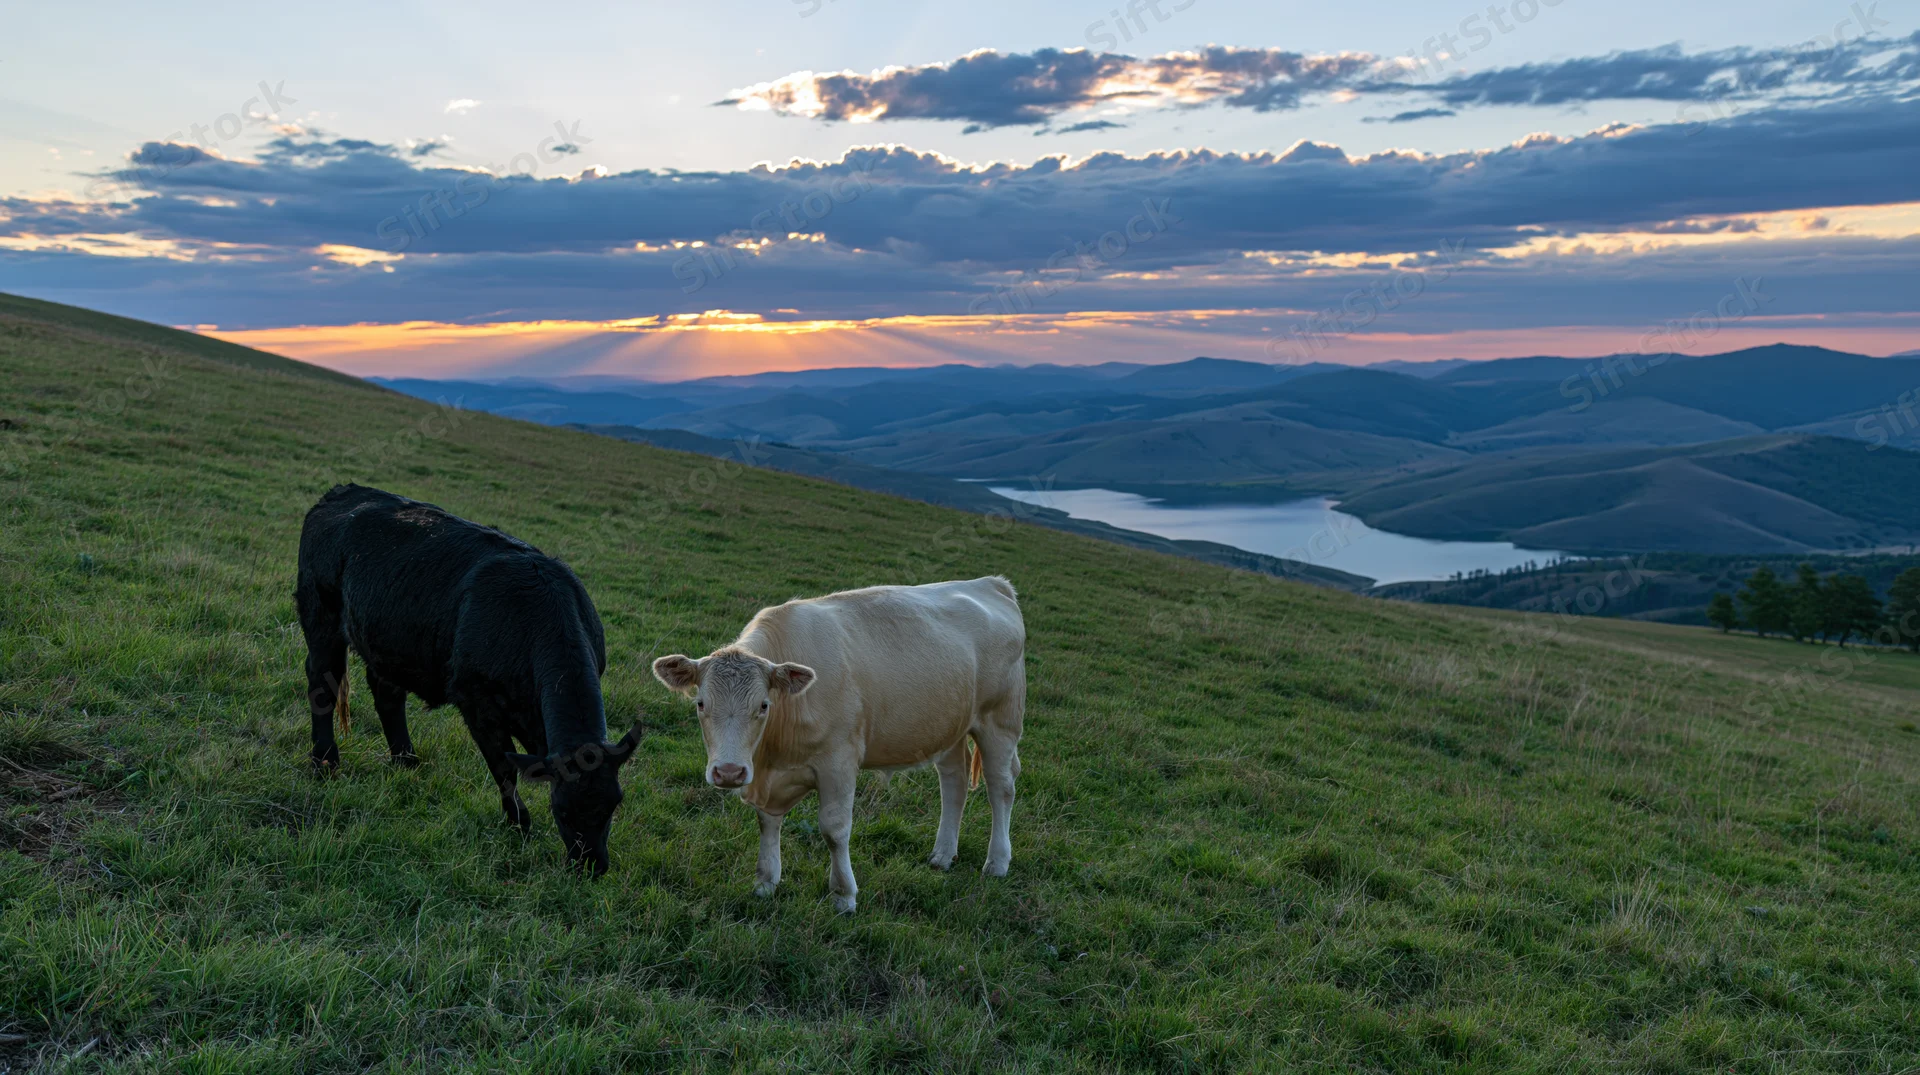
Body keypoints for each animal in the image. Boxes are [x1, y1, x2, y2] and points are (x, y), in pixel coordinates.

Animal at [295, 484, 641, 876]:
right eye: (562, 810)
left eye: (614, 804)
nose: (592, 866)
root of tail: (343, 492)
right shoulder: (476, 704)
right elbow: (503, 768)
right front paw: (519, 825)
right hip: (320, 618)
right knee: (322, 684)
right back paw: (325, 761)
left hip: (388, 640)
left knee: (387, 693)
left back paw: (406, 761)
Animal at [651, 576, 1025, 913]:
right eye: (701, 704)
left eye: (763, 705)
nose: (729, 772)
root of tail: (991, 583)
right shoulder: (769, 775)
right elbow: (767, 822)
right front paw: (765, 881)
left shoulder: (839, 762)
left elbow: (834, 830)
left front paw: (844, 895)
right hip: (948, 724)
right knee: (954, 783)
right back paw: (943, 855)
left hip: (1000, 722)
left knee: (1001, 788)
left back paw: (997, 862)